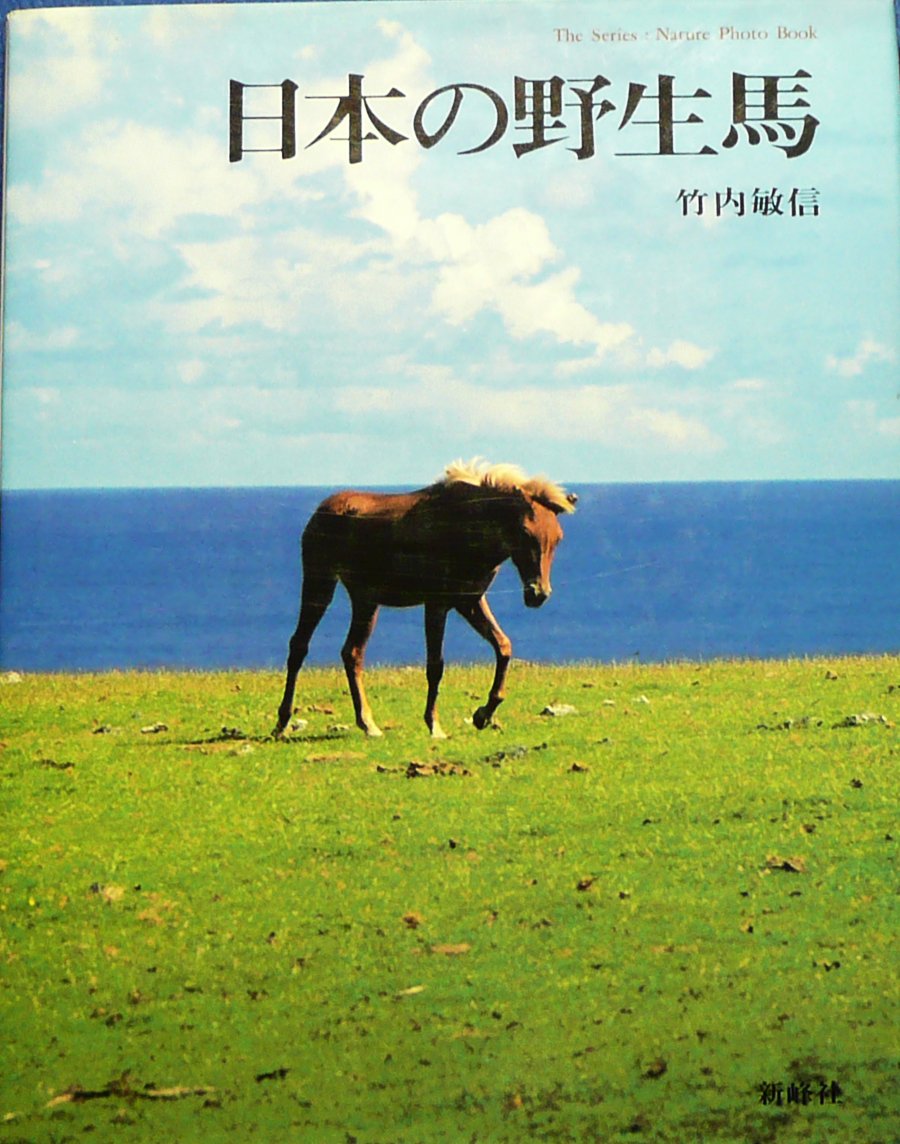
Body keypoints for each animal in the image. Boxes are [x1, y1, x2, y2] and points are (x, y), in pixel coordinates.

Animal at [274, 460, 576, 739]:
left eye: (558, 537)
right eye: (525, 531)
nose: (538, 593)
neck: (472, 533)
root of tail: (317, 514)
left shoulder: (469, 600)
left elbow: (503, 646)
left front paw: (483, 715)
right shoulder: (437, 602)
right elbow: (435, 665)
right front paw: (435, 725)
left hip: (365, 598)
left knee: (352, 652)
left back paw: (367, 723)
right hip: (320, 581)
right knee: (299, 645)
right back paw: (282, 722)